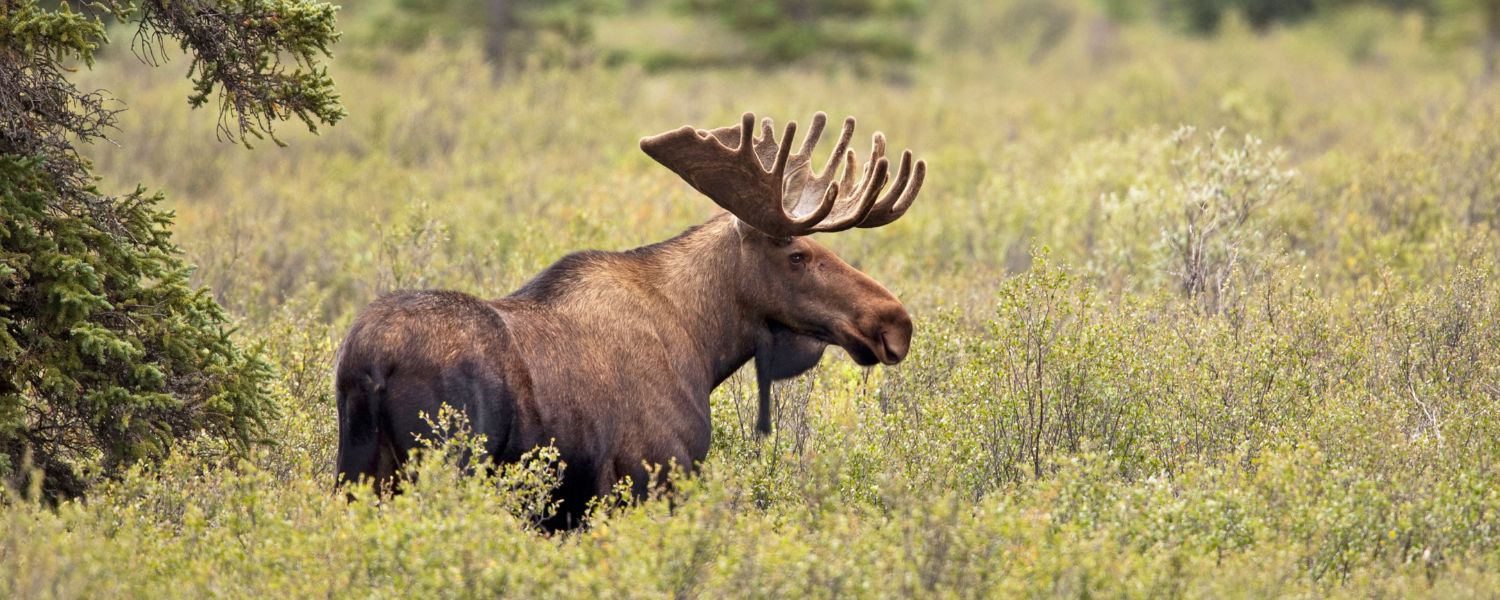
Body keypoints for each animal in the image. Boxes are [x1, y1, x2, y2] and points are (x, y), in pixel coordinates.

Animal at [337, 110, 924, 528]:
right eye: (798, 255)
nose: (895, 321)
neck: (703, 345)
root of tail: (369, 363)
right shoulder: (652, 477)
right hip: (444, 466)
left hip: (357, 472)